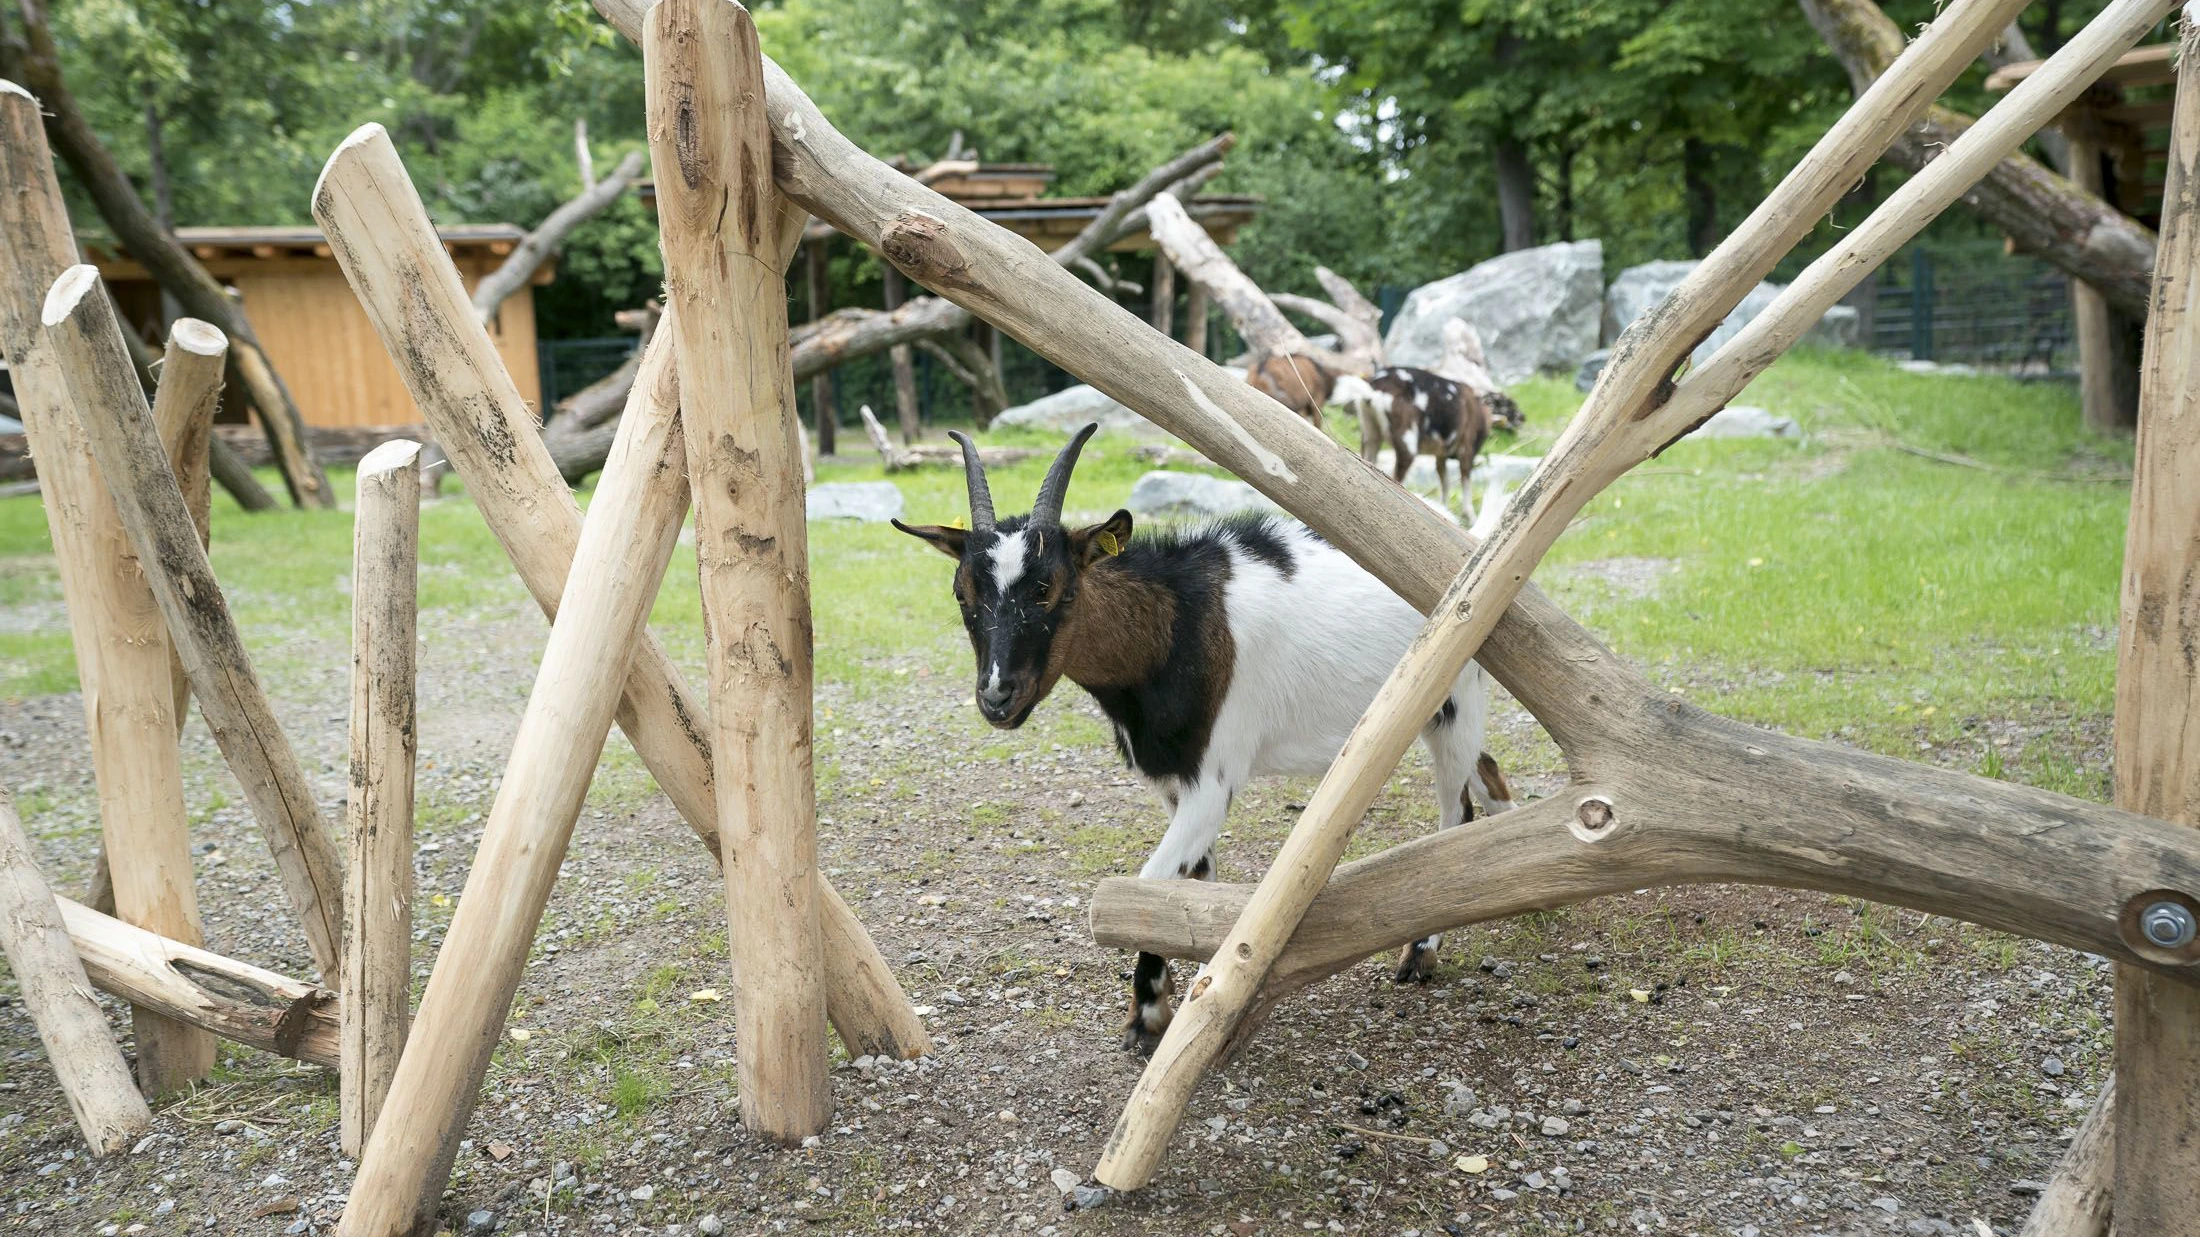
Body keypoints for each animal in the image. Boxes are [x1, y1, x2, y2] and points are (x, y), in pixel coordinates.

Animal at [893, 424, 1516, 1054]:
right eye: (962, 594)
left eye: (1055, 589)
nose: (998, 696)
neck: (1172, 630)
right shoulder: (1172, 782)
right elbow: (1188, 886)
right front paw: (1185, 990)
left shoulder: (1210, 782)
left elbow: (1149, 883)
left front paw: (1147, 1014)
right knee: (1488, 773)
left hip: (1453, 701)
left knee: (1456, 809)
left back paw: (1421, 952)